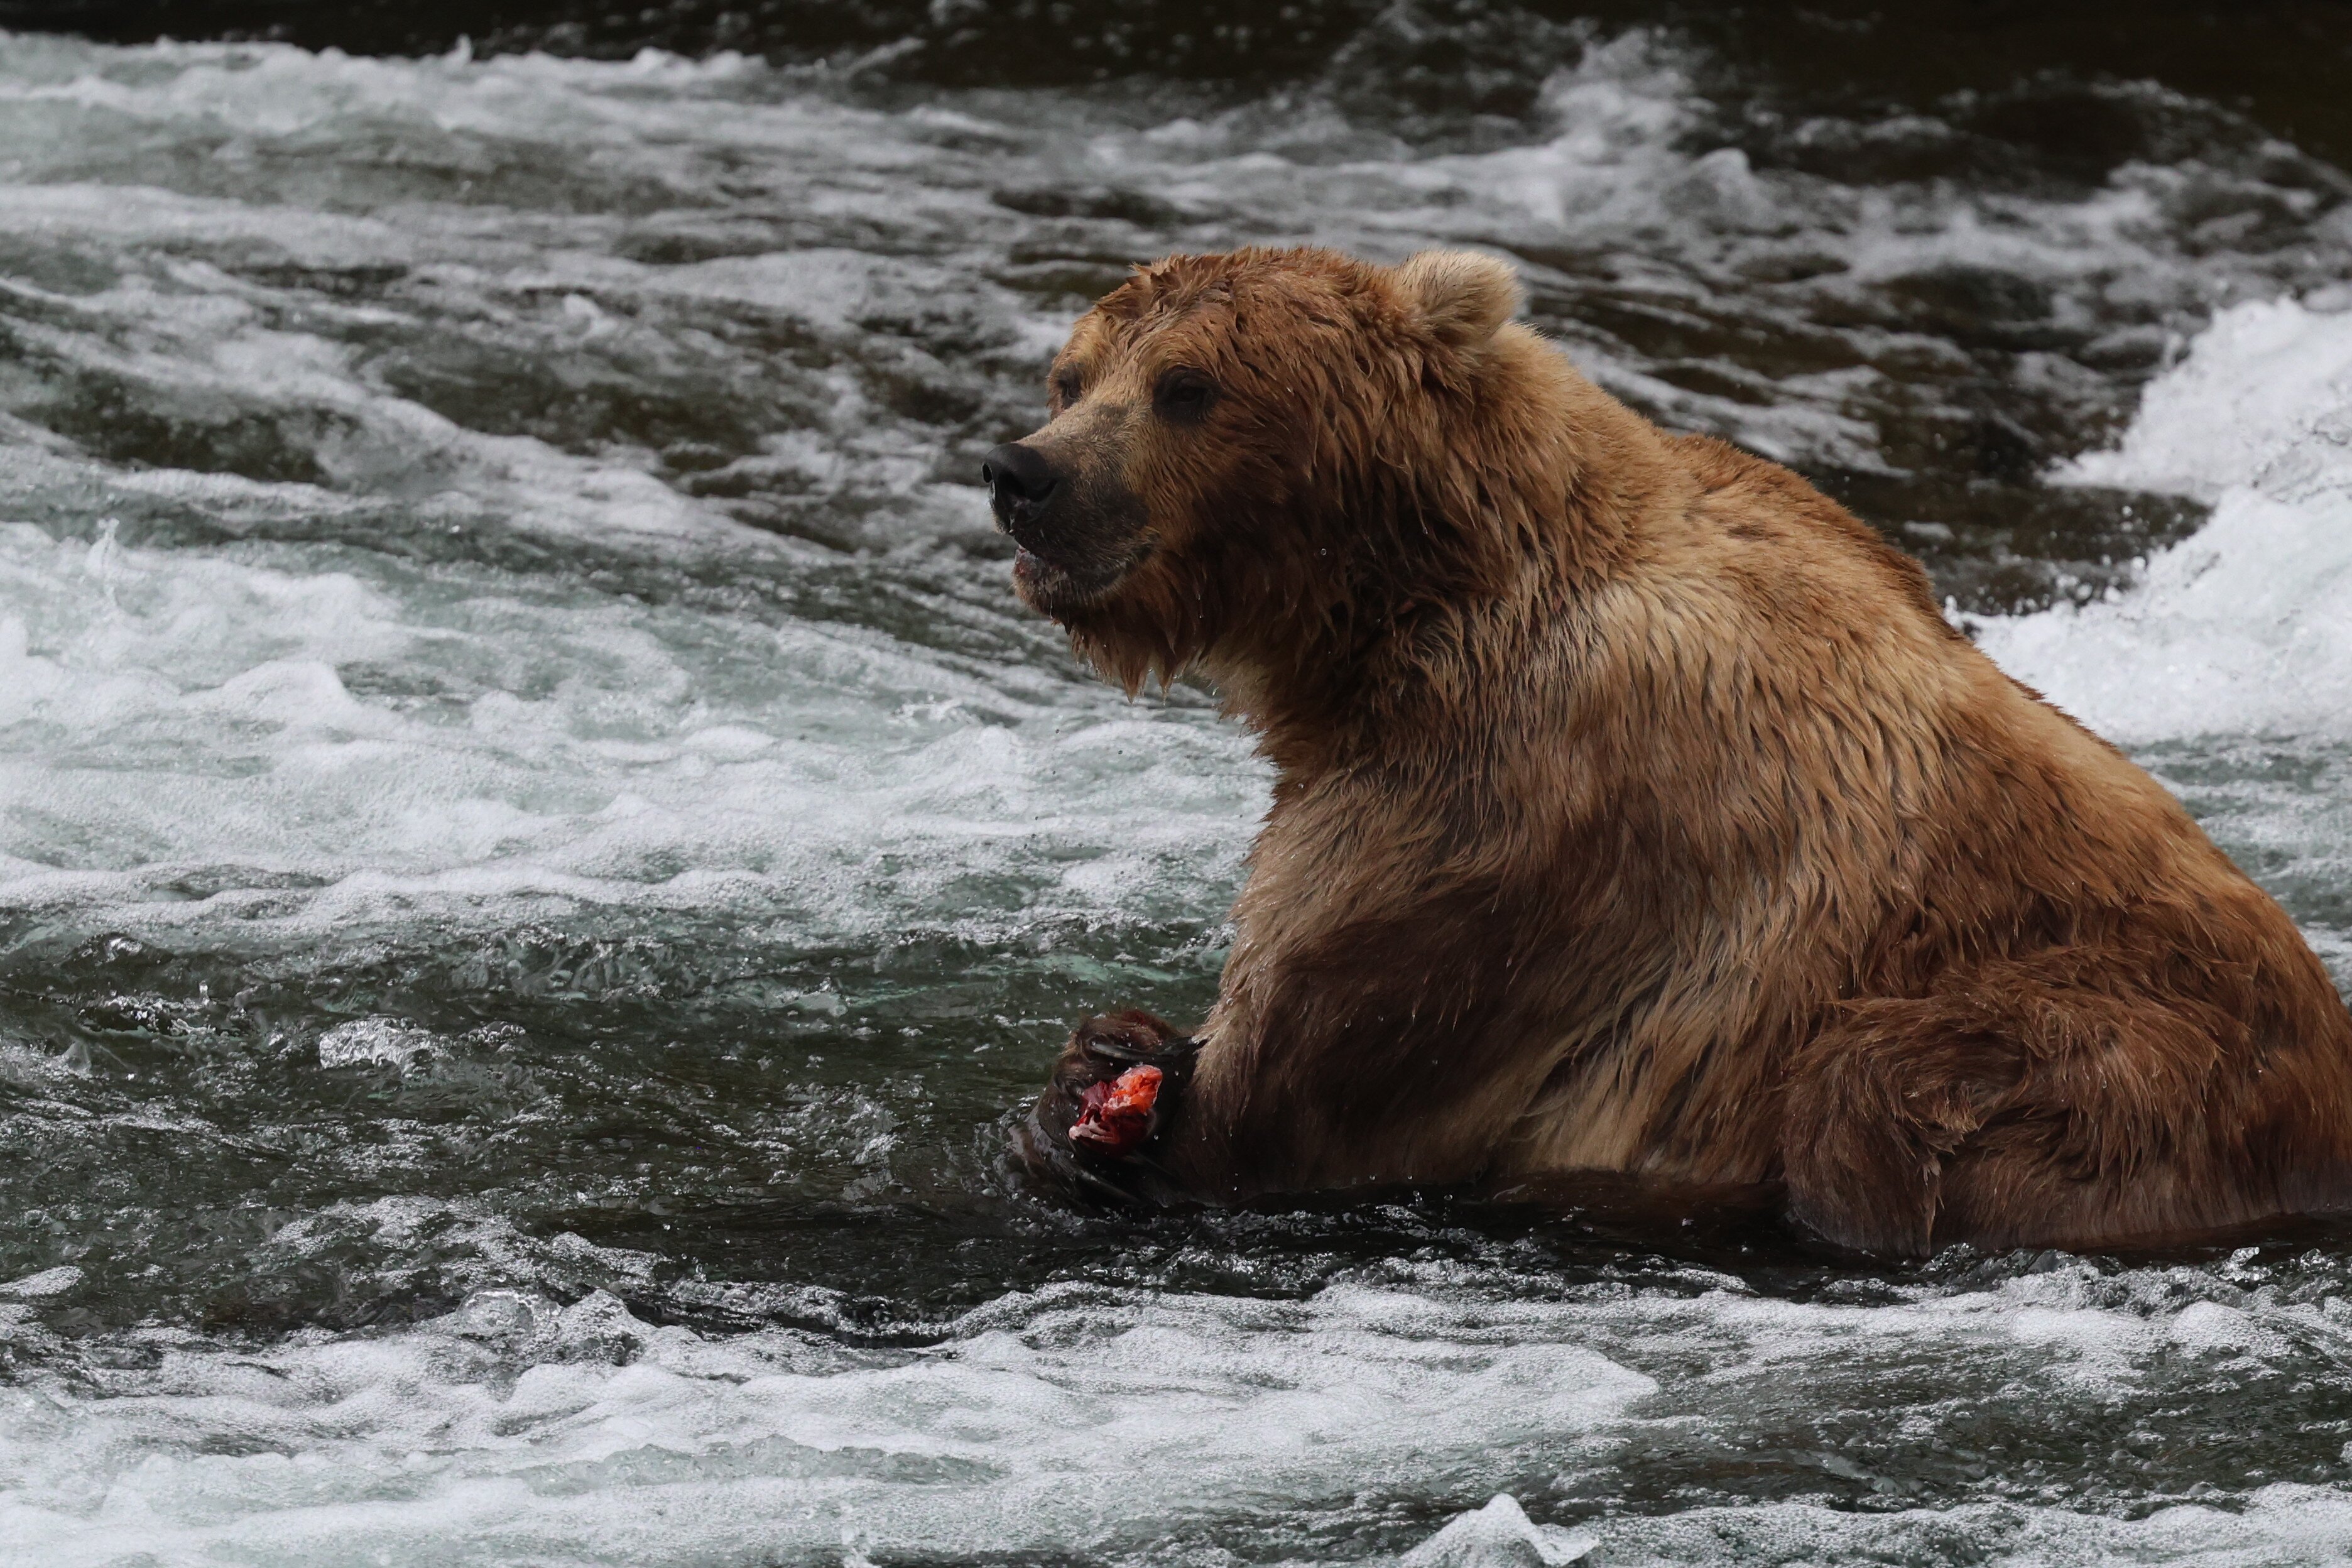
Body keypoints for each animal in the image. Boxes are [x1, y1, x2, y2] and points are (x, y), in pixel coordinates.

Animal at [974, 246, 2352, 1260]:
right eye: (1072, 375)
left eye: (1188, 385)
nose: (1022, 474)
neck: (1395, 611)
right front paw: (1104, 1056)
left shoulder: (1500, 808)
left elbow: (1294, 1094)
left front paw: (1134, 1114)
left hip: (2120, 1061)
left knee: (1870, 1088)